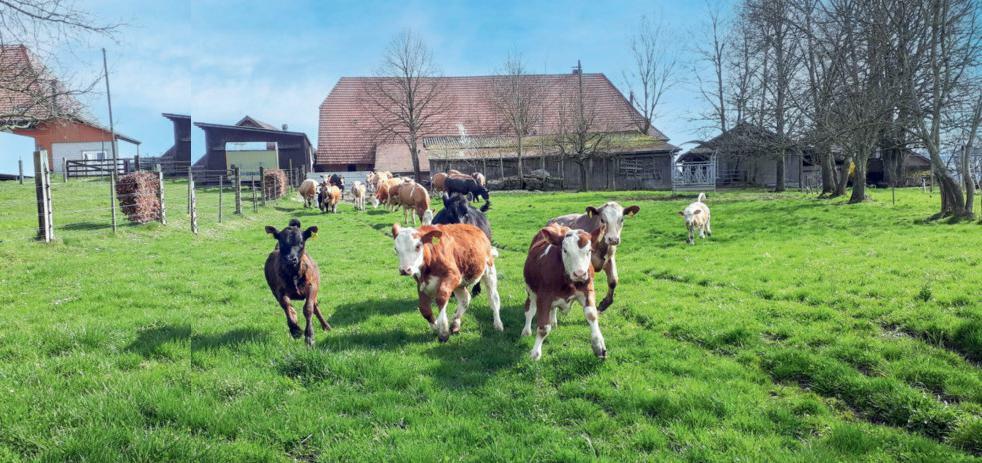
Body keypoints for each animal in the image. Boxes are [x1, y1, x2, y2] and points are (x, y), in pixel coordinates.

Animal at [522, 224, 606, 360]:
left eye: (589, 251)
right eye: (565, 250)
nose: (580, 274)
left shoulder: (588, 289)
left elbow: (591, 315)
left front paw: (598, 345)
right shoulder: (544, 296)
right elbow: (543, 327)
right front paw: (535, 352)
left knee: (552, 309)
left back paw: (553, 321)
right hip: (531, 291)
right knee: (530, 310)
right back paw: (526, 330)